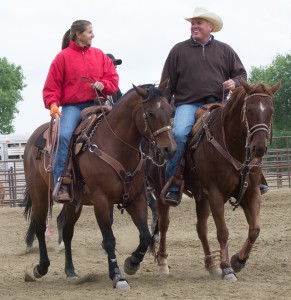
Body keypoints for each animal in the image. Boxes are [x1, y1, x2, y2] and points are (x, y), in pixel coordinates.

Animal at [22, 79, 177, 288]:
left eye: (171, 111)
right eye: (151, 113)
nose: (170, 149)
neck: (116, 146)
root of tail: (33, 139)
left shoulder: (136, 198)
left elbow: (145, 235)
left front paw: (132, 263)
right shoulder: (102, 200)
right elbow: (109, 239)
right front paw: (117, 276)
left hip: (73, 202)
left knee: (68, 231)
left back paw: (70, 270)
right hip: (40, 196)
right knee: (39, 227)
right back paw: (41, 267)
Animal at [147, 79, 282, 282]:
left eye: (271, 111)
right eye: (249, 109)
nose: (258, 147)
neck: (233, 147)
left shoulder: (251, 193)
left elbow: (255, 229)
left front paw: (238, 261)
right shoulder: (216, 194)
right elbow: (223, 232)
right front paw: (227, 268)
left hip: (201, 198)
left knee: (201, 228)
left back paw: (211, 264)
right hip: (160, 191)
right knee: (164, 224)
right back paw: (163, 262)